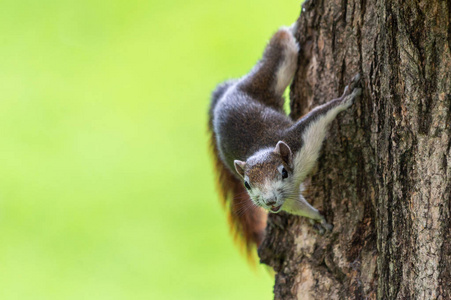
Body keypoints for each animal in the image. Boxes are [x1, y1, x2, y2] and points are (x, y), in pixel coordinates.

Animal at [209, 24, 364, 258]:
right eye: (246, 184)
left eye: (283, 173)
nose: (270, 202)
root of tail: (228, 92)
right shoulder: (288, 199)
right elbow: (298, 207)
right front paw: (318, 219)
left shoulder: (301, 138)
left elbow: (322, 114)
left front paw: (344, 99)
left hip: (268, 75)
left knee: (281, 43)